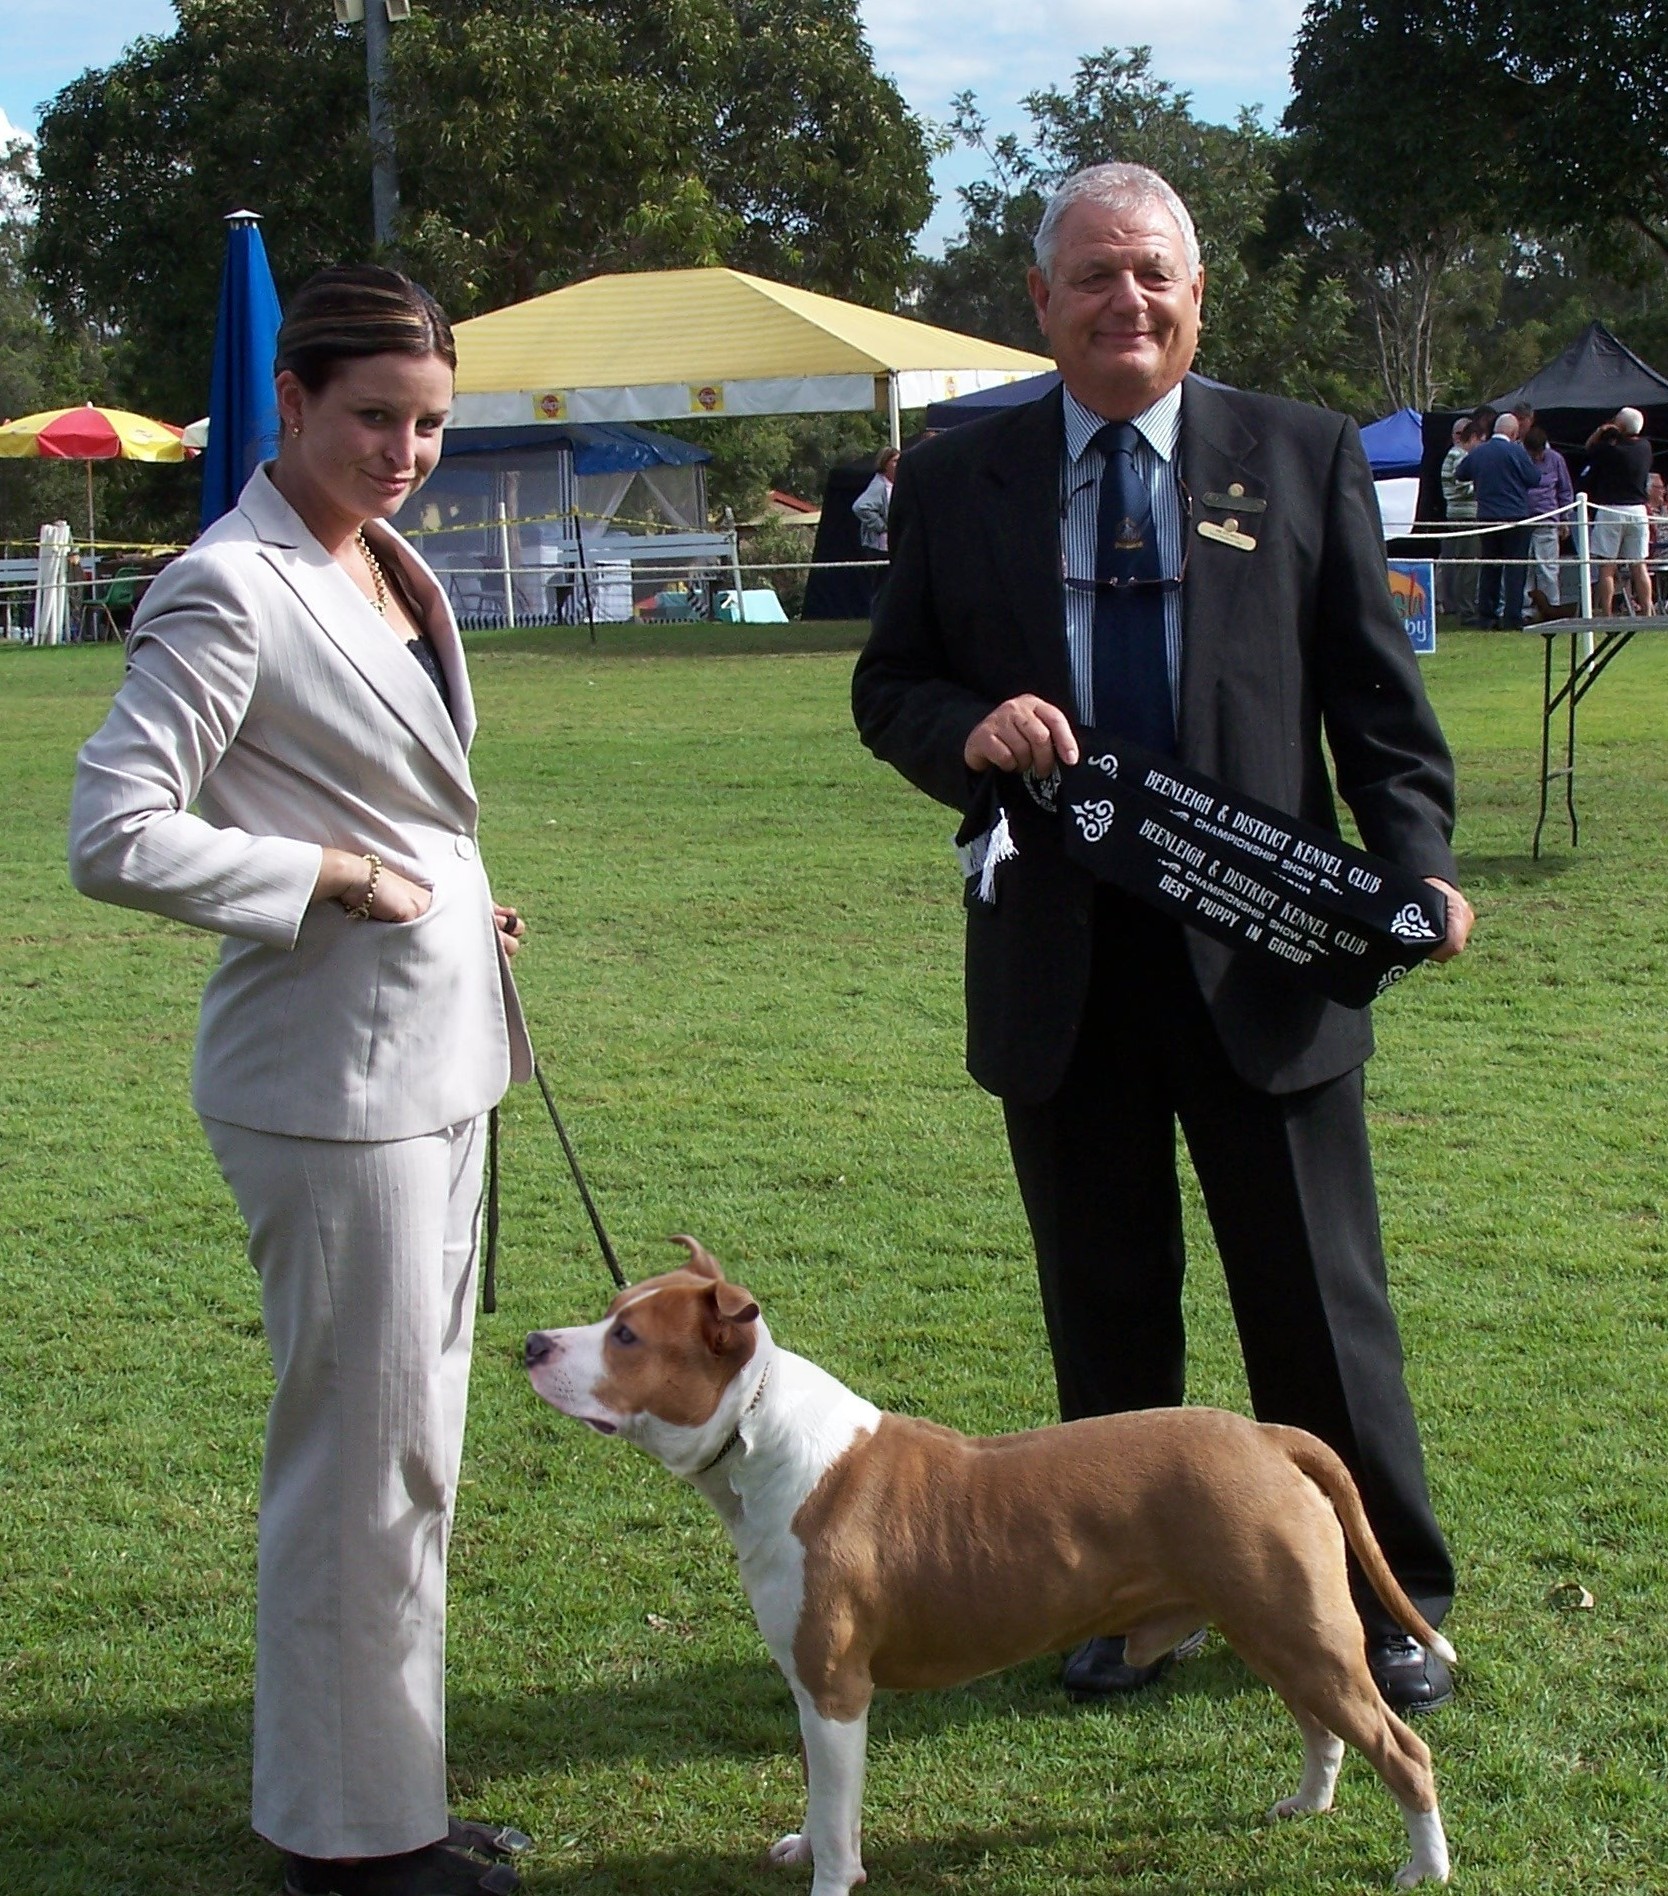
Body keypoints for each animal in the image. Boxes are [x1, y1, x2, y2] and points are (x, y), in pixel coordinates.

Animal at [526, 1239, 1452, 1892]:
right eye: (612, 1310)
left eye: (627, 1336)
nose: (533, 1341)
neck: (762, 1437)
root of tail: (1269, 1436)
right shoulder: (811, 1690)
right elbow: (827, 1800)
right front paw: (808, 1844)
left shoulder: (835, 1687)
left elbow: (838, 1824)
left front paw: (829, 1878)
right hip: (1275, 1628)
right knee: (1321, 1726)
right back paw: (1308, 1803)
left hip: (1309, 1635)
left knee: (1403, 1750)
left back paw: (1424, 1868)